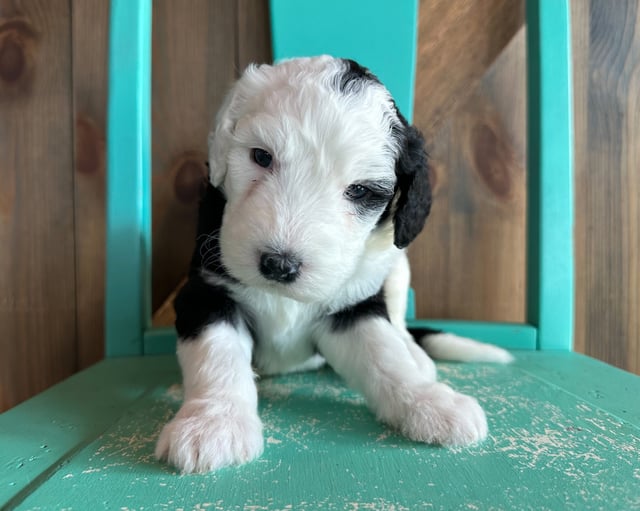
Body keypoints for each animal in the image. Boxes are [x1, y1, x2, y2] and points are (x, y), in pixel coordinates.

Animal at [156, 54, 516, 474]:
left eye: (359, 191)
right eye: (262, 157)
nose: (278, 265)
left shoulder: (352, 307)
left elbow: (386, 356)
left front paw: (429, 402)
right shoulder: (208, 293)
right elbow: (219, 356)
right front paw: (213, 424)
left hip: (394, 264)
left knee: (399, 324)